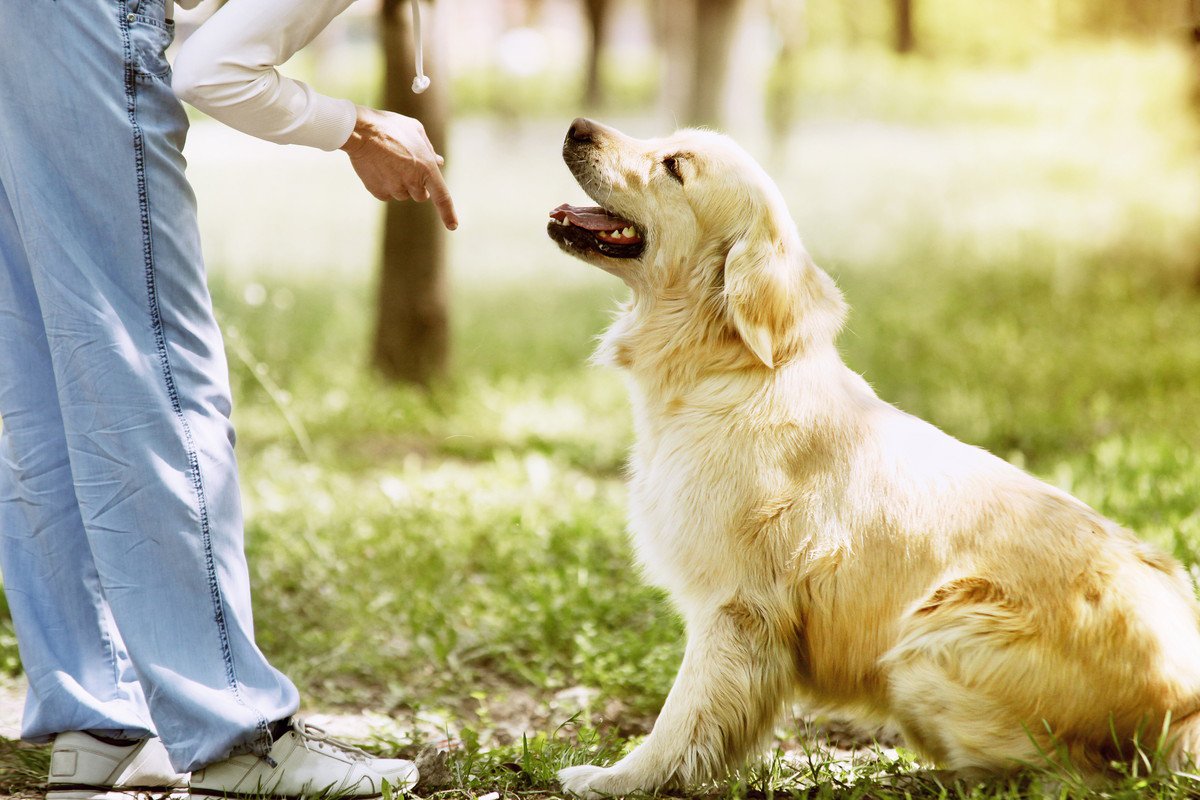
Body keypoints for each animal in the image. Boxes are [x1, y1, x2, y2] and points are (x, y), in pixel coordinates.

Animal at [549, 117, 1200, 796]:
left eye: (674, 165)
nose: (577, 126)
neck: (726, 370)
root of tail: (1185, 705)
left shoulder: (735, 607)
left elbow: (683, 717)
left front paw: (618, 778)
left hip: (930, 642)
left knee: (1065, 774)